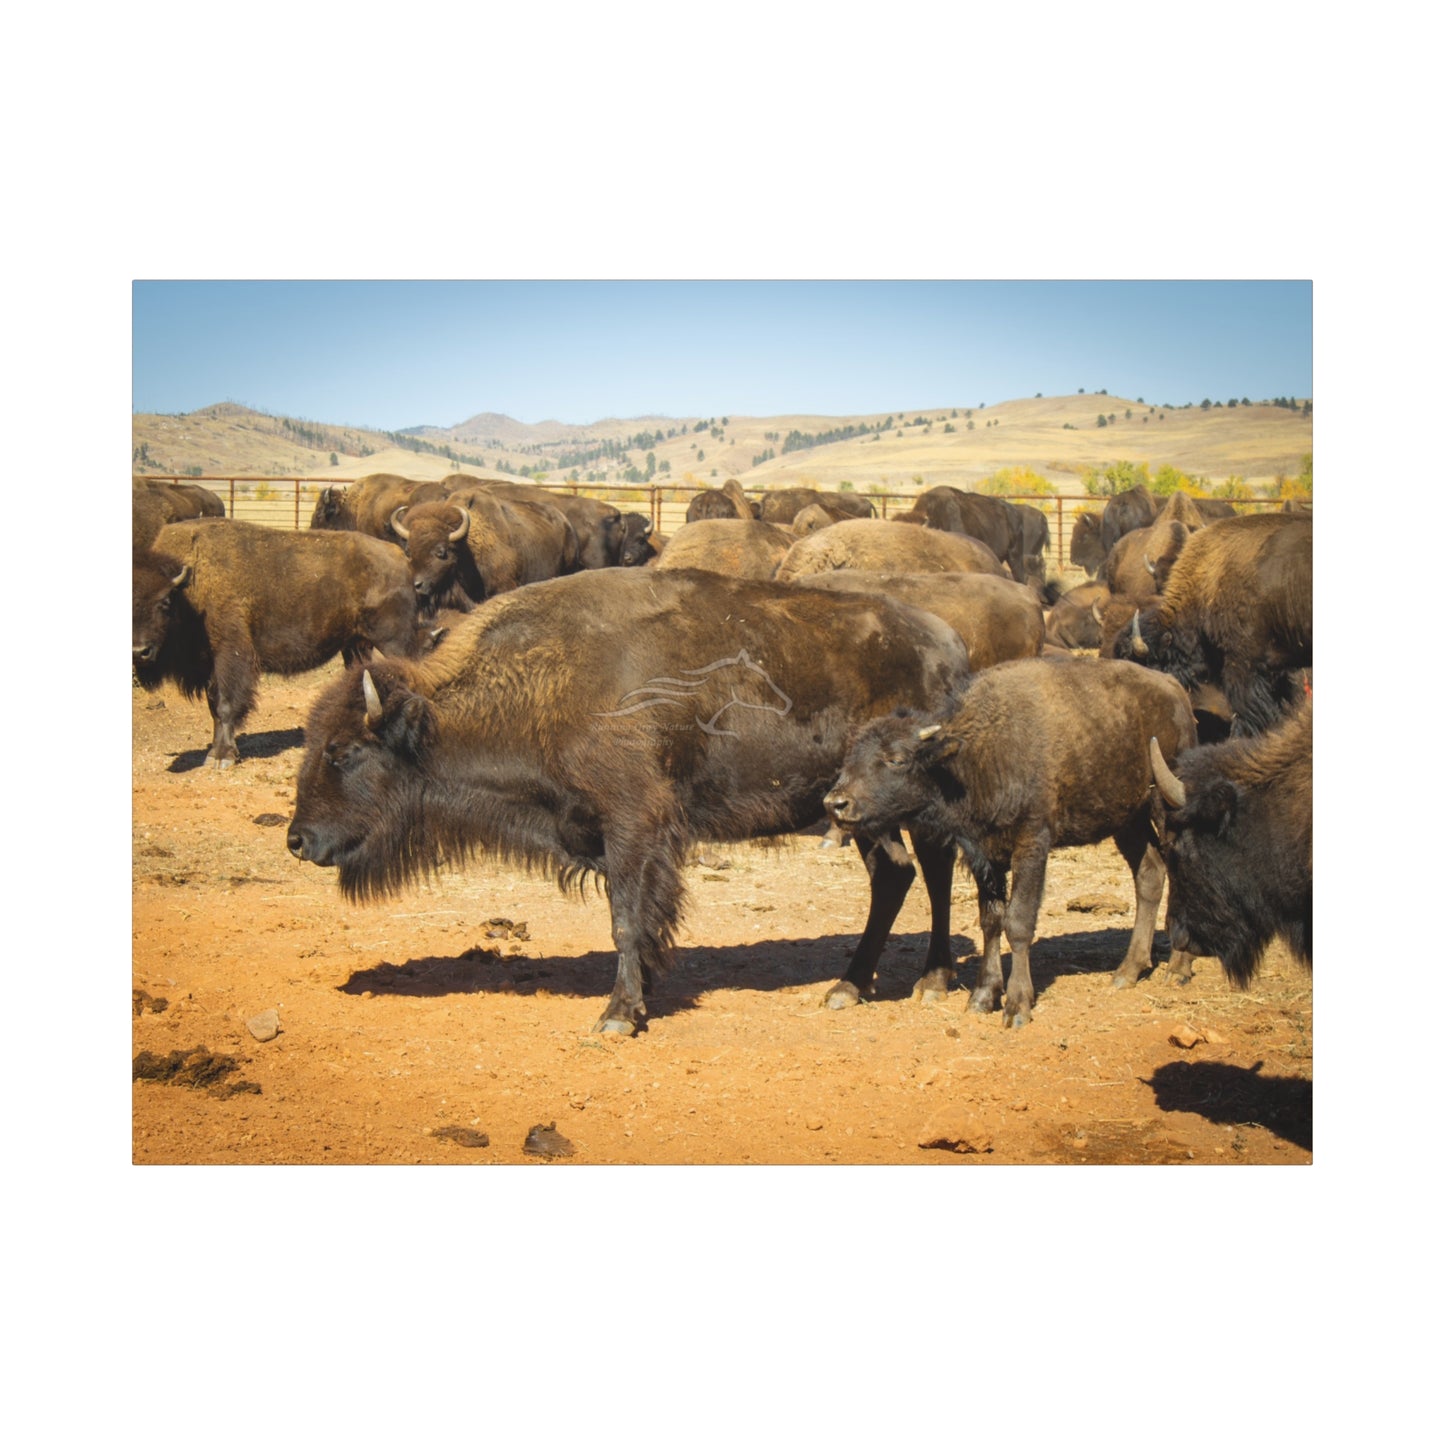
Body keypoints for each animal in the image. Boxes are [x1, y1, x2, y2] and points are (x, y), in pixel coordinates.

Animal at [133, 520, 422, 768]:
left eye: (165, 601)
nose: (139, 652)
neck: (191, 584)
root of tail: (400, 556)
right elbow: (213, 707)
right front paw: (217, 753)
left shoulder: (230, 656)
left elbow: (225, 705)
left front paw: (222, 757)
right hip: (355, 645)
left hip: (394, 641)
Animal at [287, 569, 972, 1035]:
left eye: (342, 752)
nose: (297, 839)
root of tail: (950, 644)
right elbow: (637, 921)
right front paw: (640, 996)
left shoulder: (633, 825)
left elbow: (625, 919)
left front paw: (618, 1015)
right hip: (861, 813)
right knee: (896, 875)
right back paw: (851, 987)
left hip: (908, 807)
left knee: (932, 872)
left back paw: (928, 982)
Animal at [825, 658, 1199, 1026]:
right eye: (850, 758)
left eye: (897, 759)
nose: (836, 803)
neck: (978, 753)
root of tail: (1174, 689)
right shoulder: (983, 855)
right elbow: (991, 920)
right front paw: (982, 997)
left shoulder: (1031, 844)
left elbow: (1018, 921)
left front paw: (1017, 1005)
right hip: (1127, 819)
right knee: (1149, 873)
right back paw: (1127, 971)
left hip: (1165, 804)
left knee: (1178, 869)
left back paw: (1178, 968)